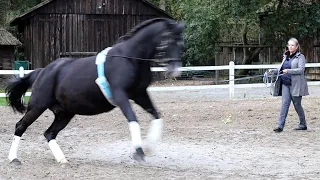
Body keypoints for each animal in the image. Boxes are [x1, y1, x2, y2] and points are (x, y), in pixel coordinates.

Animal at [5, 17, 185, 165]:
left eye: (181, 41)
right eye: (167, 39)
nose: (175, 70)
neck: (131, 58)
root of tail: (42, 71)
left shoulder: (139, 94)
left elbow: (156, 115)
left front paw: (149, 147)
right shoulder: (120, 95)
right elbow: (133, 120)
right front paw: (139, 153)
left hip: (65, 113)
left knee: (49, 133)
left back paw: (62, 159)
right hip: (37, 106)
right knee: (21, 126)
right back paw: (14, 159)